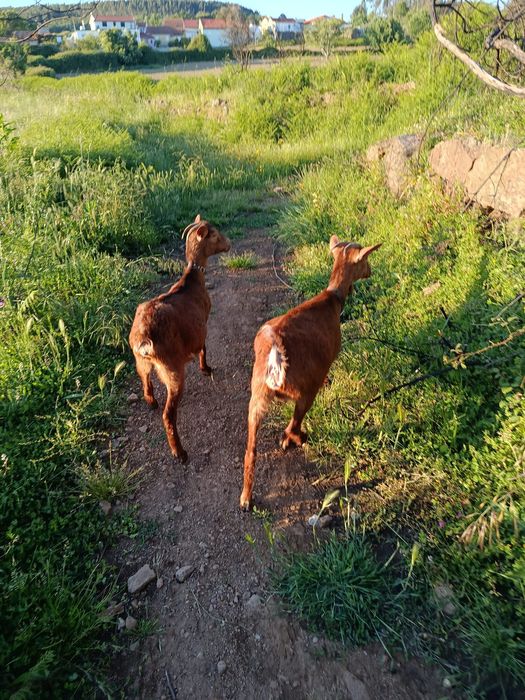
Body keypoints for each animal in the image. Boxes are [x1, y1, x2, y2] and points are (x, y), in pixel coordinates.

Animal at [129, 215, 230, 463]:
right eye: (215, 234)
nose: (229, 243)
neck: (191, 281)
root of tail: (143, 337)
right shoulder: (203, 323)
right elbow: (203, 347)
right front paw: (206, 368)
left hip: (141, 362)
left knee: (145, 381)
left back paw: (151, 402)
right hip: (172, 369)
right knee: (169, 414)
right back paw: (179, 452)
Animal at [240, 235, 381, 510]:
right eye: (365, 259)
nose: (371, 272)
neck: (331, 299)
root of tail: (276, 351)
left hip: (257, 394)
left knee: (251, 450)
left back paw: (245, 498)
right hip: (304, 388)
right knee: (292, 426)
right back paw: (297, 439)